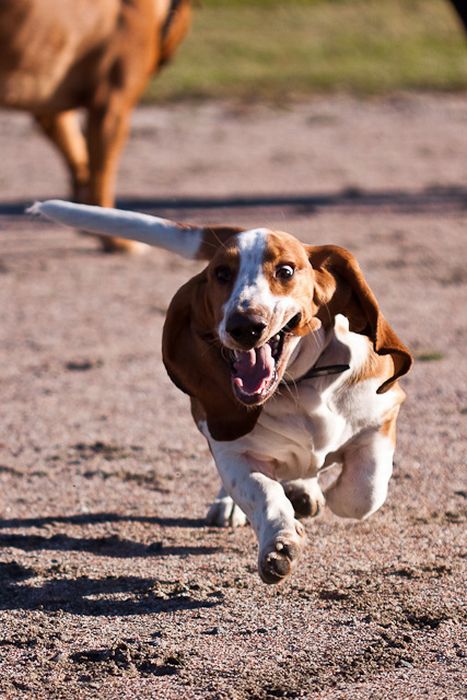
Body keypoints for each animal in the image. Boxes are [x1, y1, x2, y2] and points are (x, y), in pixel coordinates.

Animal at [0, 0, 191, 252]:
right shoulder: (111, 107)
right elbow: (102, 176)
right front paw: (117, 240)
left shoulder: (51, 110)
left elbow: (81, 163)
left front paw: (86, 218)